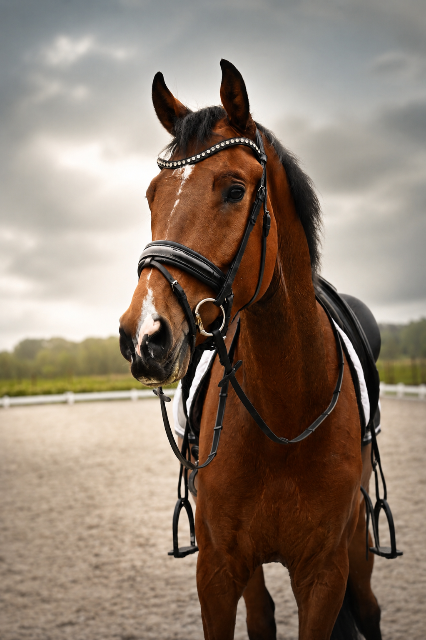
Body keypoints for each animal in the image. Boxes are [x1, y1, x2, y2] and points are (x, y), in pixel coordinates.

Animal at [119, 59, 386, 640]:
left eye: (235, 190)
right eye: (152, 194)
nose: (144, 336)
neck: (285, 413)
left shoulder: (324, 573)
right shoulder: (218, 570)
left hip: (357, 544)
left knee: (368, 608)